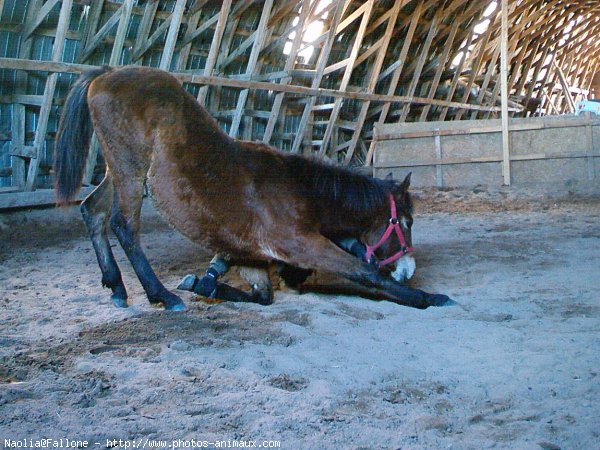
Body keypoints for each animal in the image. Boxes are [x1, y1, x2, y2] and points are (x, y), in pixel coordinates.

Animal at [56, 66, 452, 310]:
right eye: (405, 222)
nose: (408, 269)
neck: (299, 190)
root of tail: (107, 74)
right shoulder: (302, 245)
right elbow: (365, 273)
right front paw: (427, 297)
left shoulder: (253, 257)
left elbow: (261, 296)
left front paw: (204, 285)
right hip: (130, 169)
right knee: (124, 225)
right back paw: (161, 295)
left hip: (117, 169)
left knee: (93, 211)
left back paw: (117, 287)